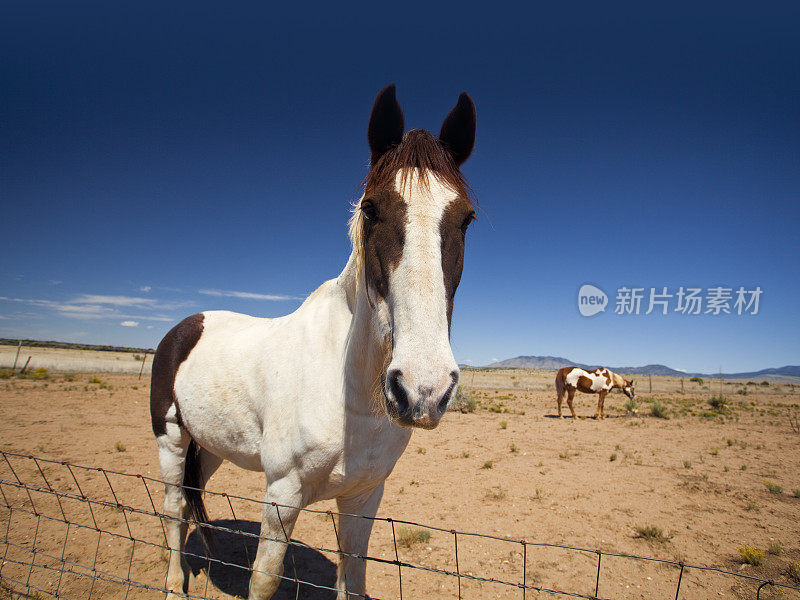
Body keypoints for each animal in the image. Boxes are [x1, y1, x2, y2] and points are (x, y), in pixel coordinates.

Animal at [150, 85, 476, 600]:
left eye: (466, 219)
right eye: (370, 209)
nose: (423, 390)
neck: (348, 396)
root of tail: (184, 327)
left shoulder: (364, 497)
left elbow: (352, 579)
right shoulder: (282, 495)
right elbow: (264, 579)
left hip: (210, 446)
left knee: (191, 498)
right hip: (171, 442)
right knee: (173, 510)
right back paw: (174, 584)